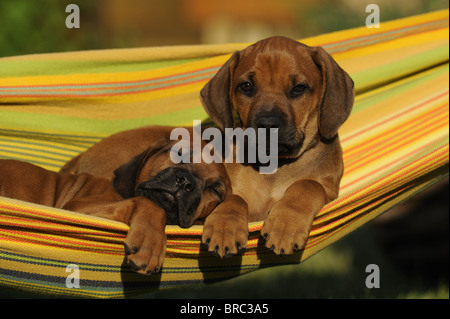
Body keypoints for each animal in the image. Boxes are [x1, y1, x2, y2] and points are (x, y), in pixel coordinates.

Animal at [0, 140, 232, 276]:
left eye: (214, 189)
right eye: (178, 154)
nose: (186, 183)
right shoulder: (79, 206)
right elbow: (149, 204)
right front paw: (150, 244)